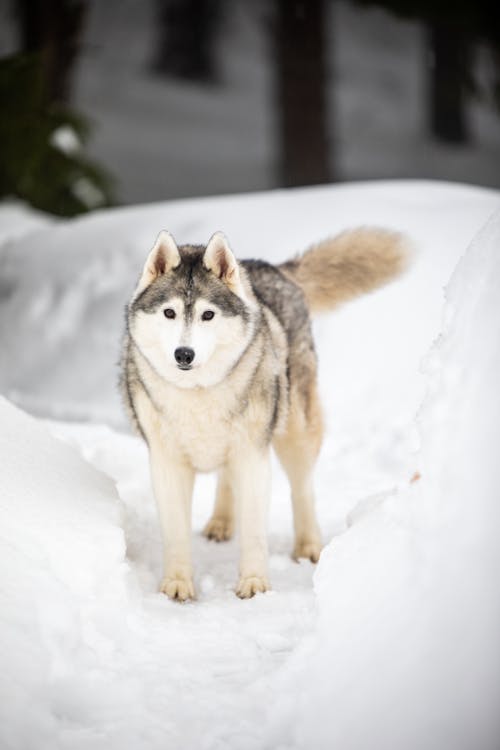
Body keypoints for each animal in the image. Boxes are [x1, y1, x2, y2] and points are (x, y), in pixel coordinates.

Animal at [120, 228, 406, 600]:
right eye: (169, 313)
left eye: (208, 315)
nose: (184, 354)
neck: (198, 393)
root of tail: (272, 268)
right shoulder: (167, 463)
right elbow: (176, 533)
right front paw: (177, 585)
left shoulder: (252, 457)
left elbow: (255, 532)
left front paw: (254, 583)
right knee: (226, 481)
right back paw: (221, 523)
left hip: (295, 434)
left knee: (303, 488)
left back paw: (307, 547)